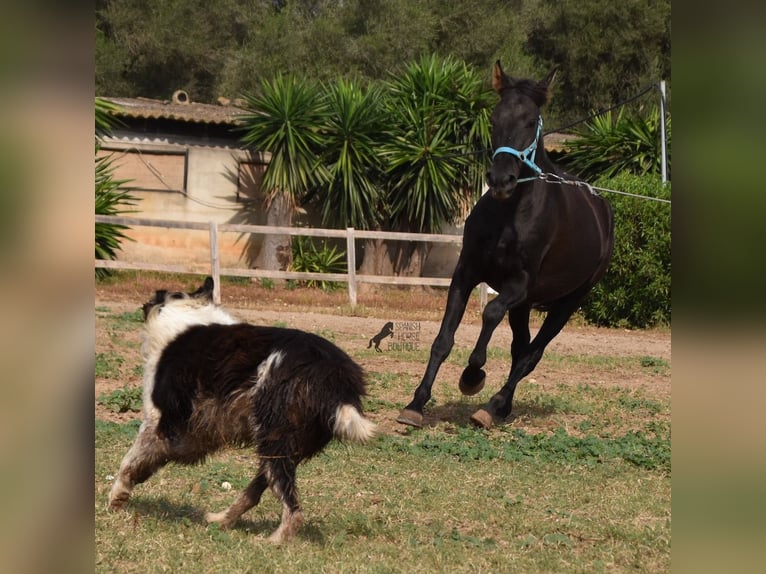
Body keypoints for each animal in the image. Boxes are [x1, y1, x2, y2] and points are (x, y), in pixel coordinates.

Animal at [109, 280, 378, 544]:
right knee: (257, 492)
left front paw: (117, 497)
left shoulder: (160, 422)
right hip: (285, 447)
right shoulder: (193, 435)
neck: (186, 311)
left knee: (293, 510)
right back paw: (221, 520)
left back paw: (273, 541)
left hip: (275, 439)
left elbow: (129, 462)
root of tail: (336, 376)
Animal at [400, 64, 616, 432]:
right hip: (525, 306)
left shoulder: (519, 285)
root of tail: (603, 210)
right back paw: (501, 407)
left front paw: (472, 375)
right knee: (520, 349)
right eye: (495, 118)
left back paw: (491, 405)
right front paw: (416, 404)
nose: (502, 180)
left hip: (567, 303)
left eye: (530, 121)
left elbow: (489, 313)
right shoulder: (466, 273)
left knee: (531, 355)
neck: (510, 215)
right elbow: (443, 340)